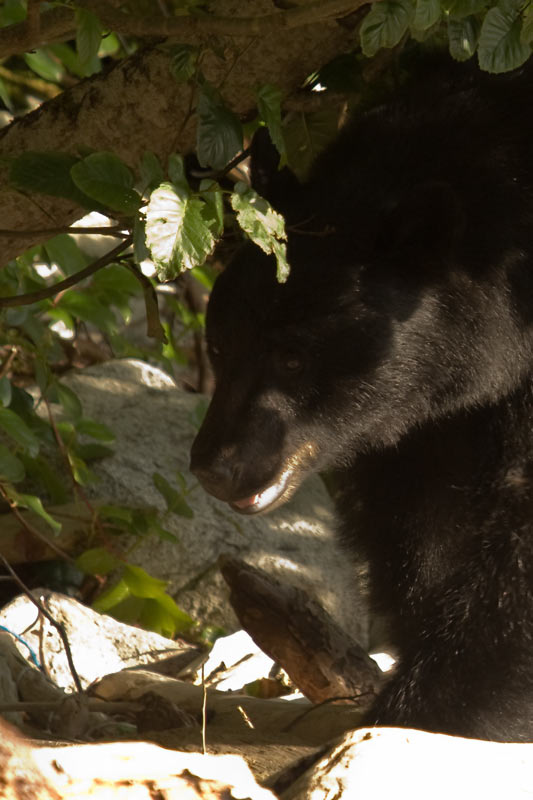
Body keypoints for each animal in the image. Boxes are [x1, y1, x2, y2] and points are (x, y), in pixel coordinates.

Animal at [189, 62, 532, 744]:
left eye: (294, 358)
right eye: (220, 345)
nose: (216, 465)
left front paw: (439, 707)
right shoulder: (425, 417)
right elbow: (416, 520)